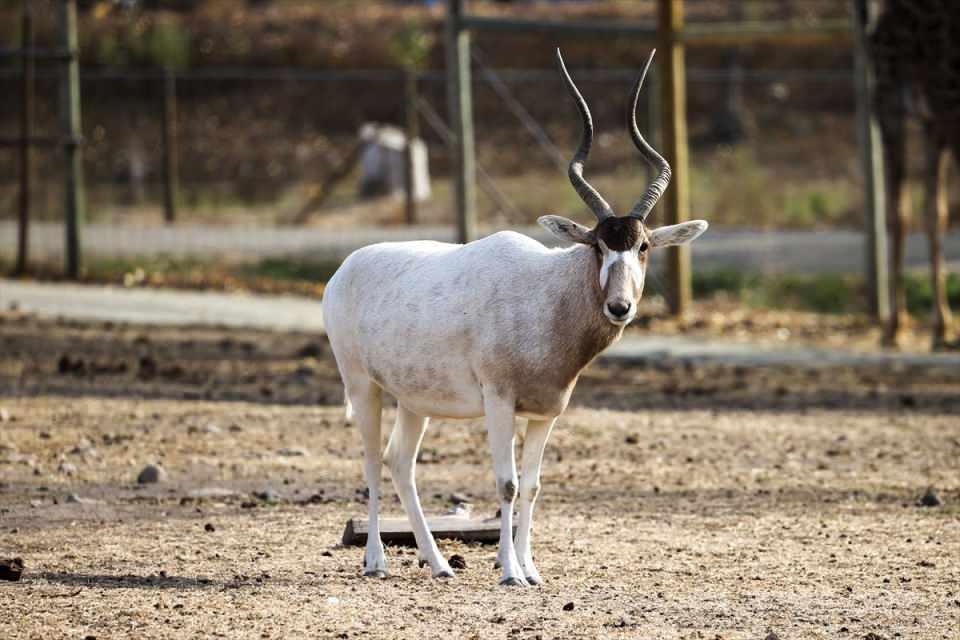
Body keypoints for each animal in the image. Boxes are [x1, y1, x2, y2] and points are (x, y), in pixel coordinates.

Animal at [322, 50, 704, 584]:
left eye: (644, 246)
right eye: (597, 245)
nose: (619, 306)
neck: (545, 295)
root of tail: (344, 269)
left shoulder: (546, 412)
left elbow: (533, 484)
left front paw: (530, 568)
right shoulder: (498, 400)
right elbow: (506, 483)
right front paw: (508, 571)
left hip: (414, 398)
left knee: (400, 462)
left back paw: (439, 563)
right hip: (362, 385)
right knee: (374, 460)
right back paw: (376, 561)